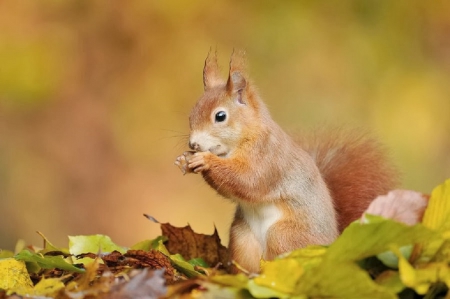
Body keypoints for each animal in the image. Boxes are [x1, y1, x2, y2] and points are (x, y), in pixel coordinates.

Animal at [175, 49, 398, 274]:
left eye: (220, 116)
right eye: (191, 114)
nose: (193, 144)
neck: (244, 139)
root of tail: (331, 250)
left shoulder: (267, 158)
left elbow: (247, 180)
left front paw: (205, 160)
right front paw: (184, 159)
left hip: (284, 236)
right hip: (242, 237)